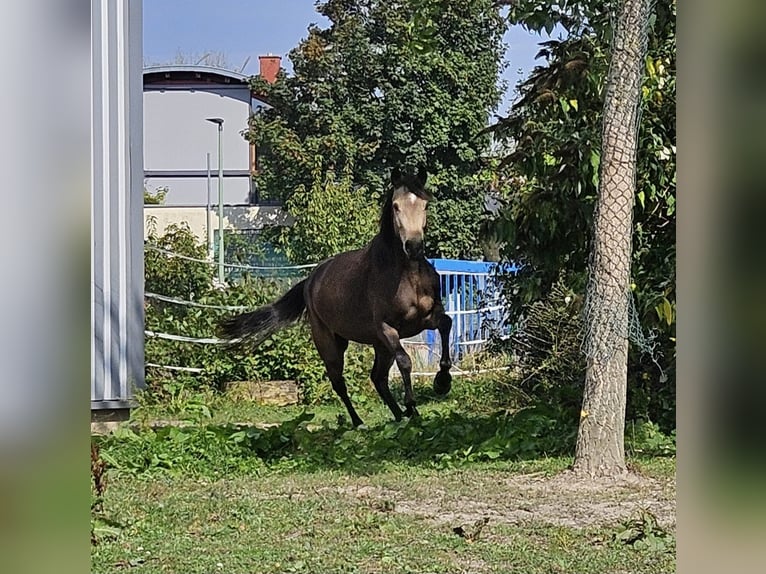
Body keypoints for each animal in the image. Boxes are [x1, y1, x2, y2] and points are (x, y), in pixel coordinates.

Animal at [219, 166, 452, 428]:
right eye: (396, 206)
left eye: (425, 204)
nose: (413, 246)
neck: (407, 275)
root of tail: (311, 280)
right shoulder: (387, 329)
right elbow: (405, 361)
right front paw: (413, 405)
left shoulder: (428, 317)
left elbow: (446, 324)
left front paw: (442, 382)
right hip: (331, 343)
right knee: (339, 382)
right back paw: (361, 422)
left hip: (377, 345)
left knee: (378, 378)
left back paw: (399, 416)